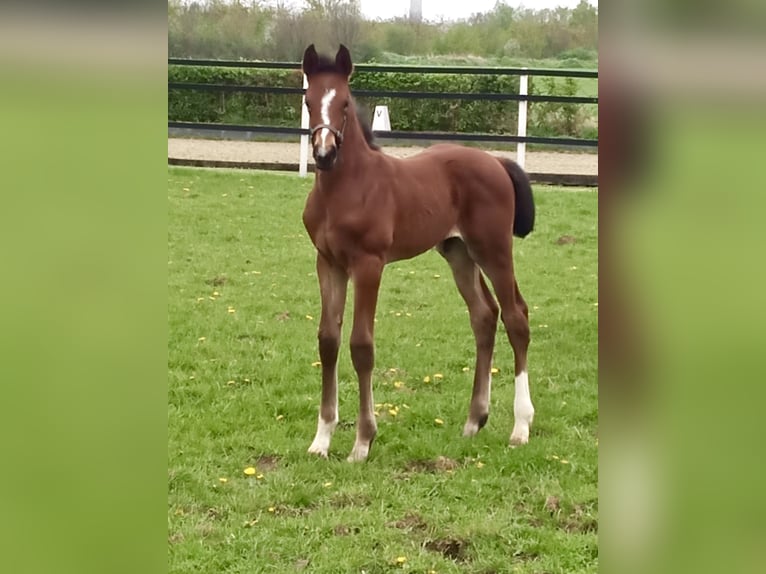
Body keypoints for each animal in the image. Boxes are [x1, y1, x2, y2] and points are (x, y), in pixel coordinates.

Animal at [302, 44, 540, 464]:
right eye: (308, 101)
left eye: (344, 102)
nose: (324, 152)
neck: (347, 188)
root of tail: (495, 161)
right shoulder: (328, 263)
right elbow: (328, 341)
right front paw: (322, 439)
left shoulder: (369, 264)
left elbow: (361, 345)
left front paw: (362, 442)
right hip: (458, 252)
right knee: (484, 315)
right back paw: (474, 421)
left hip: (493, 248)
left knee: (516, 317)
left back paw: (520, 427)